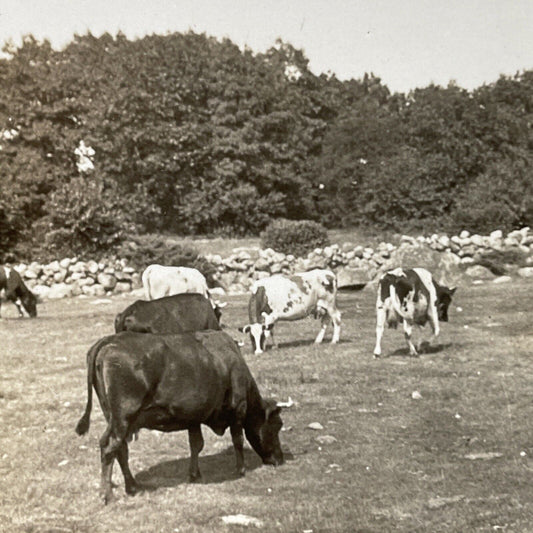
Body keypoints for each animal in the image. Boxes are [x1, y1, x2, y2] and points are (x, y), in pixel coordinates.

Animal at [74, 328, 288, 502]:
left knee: (121, 449)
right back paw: (107, 495)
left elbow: (196, 444)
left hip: (115, 417)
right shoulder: (238, 409)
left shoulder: (193, 416)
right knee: (110, 446)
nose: (280, 460)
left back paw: (132, 486)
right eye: (276, 426)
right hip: (123, 416)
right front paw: (241, 469)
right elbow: (238, 440)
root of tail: (110, 340)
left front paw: (194, 474)